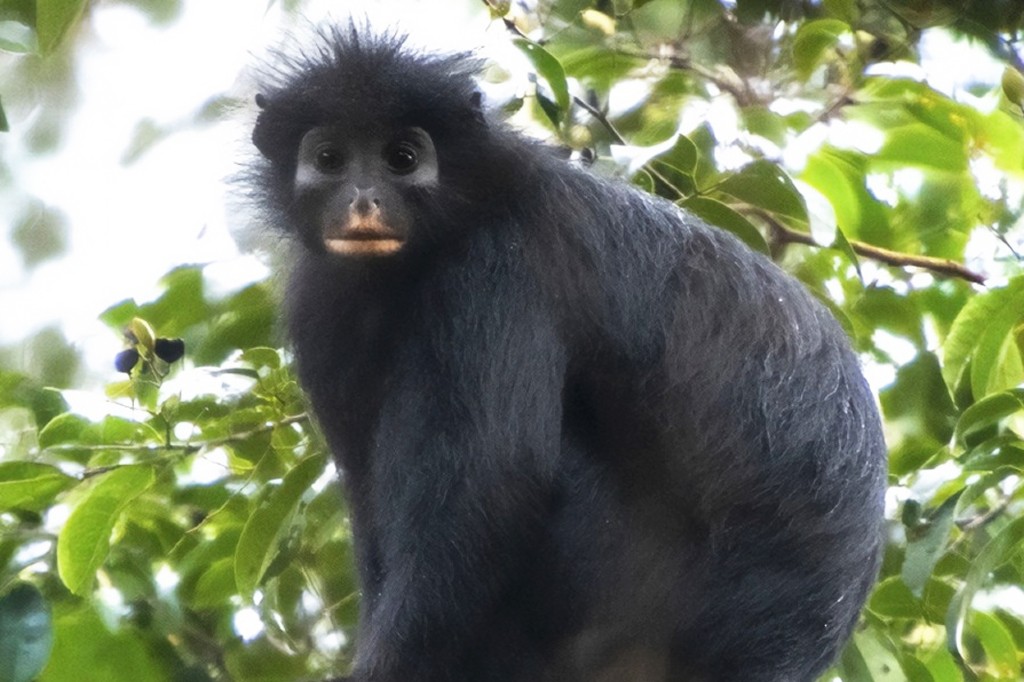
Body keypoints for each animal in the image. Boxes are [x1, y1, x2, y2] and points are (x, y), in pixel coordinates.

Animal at [247, 26, 887, 682]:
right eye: (330, 159)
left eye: (402, 158)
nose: (364, 199)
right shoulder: (322, 304)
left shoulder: (497, 265)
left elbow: (492, 484)